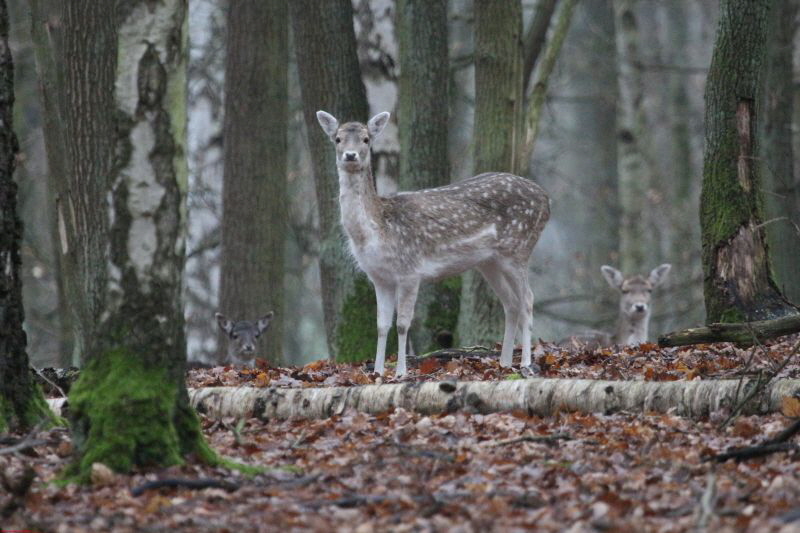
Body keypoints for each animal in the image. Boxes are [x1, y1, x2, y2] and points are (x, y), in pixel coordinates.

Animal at [314, 110, 552, 376]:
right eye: (337, 138)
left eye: (366, 139)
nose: (350, 155)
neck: (376, 231)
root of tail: (546, 199)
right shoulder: (379, 277)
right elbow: (381, 325)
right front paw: (377, 371)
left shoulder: (409, 269)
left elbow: (402, 324)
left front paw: (400, 372)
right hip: (489, 261)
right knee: (511, 303)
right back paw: (504, 363)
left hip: (518, 248)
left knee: (527, 299)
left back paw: (526, 363)